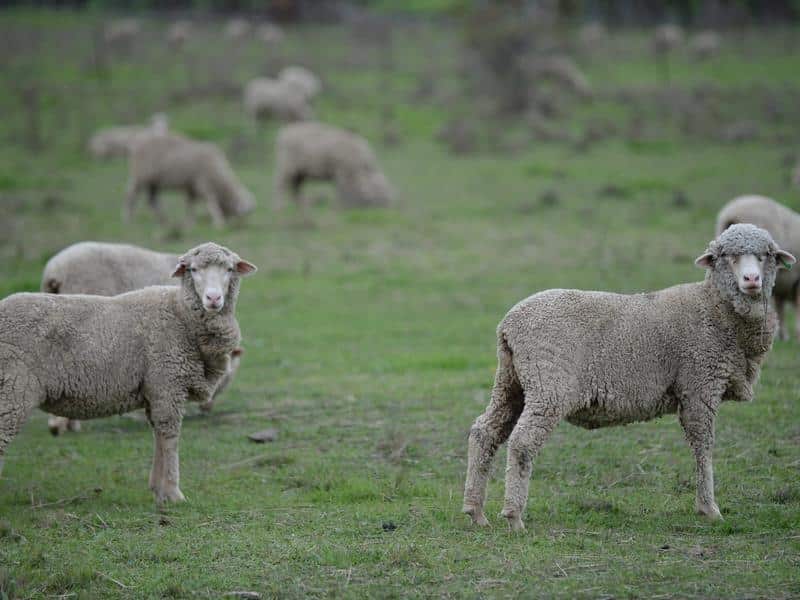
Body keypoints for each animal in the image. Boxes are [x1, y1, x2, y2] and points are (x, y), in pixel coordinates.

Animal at [0, 242, 257, 503]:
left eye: (229, 269)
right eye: (193, 269)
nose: (213, 298)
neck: (180, 314)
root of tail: (55, 269)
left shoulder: (155, 389)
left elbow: (158, 433)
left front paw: (158, 488)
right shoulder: (168, 382)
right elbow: (170, 434)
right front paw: (173, 492)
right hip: (13, 390)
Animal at [125, 133, 255, 228]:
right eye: (239, 215)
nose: (237, 226)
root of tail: (137, 142)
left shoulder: (191, 186)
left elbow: (189, 204)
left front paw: (189, 222)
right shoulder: (203, 184)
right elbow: (211, 202)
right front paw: (218, 222)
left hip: (154, 182)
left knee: (152, 201)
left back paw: (163, 221)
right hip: (140, 175)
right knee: (131, 195)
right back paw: (128, 218)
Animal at [463, 224, 795, 531]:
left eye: (765, 255)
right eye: (728, 256)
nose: (751, 280)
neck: (715, 309)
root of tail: (509, 323)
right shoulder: (700, 385)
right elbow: (703, 445)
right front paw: (709, 508)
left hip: (511, 382)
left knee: (485, 432)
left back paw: (476, 511)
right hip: (549, 385)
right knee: (522, 442)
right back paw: (514, 516)